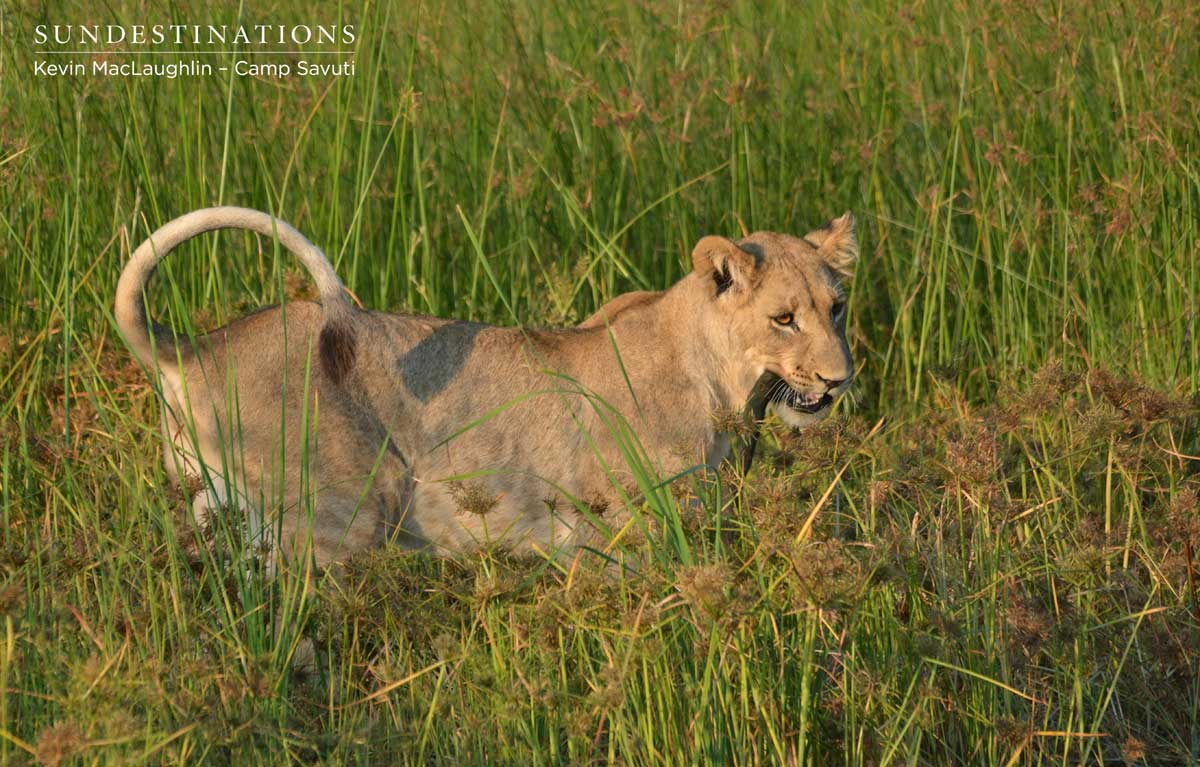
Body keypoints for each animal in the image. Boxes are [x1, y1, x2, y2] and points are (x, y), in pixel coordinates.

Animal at [115, 207, 856, 564]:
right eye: (784, 319)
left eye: (837, 307)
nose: (839, 381)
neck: (725, 384)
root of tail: (197, 348)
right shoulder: (619, 536)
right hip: (347, 508)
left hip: (218, 504)